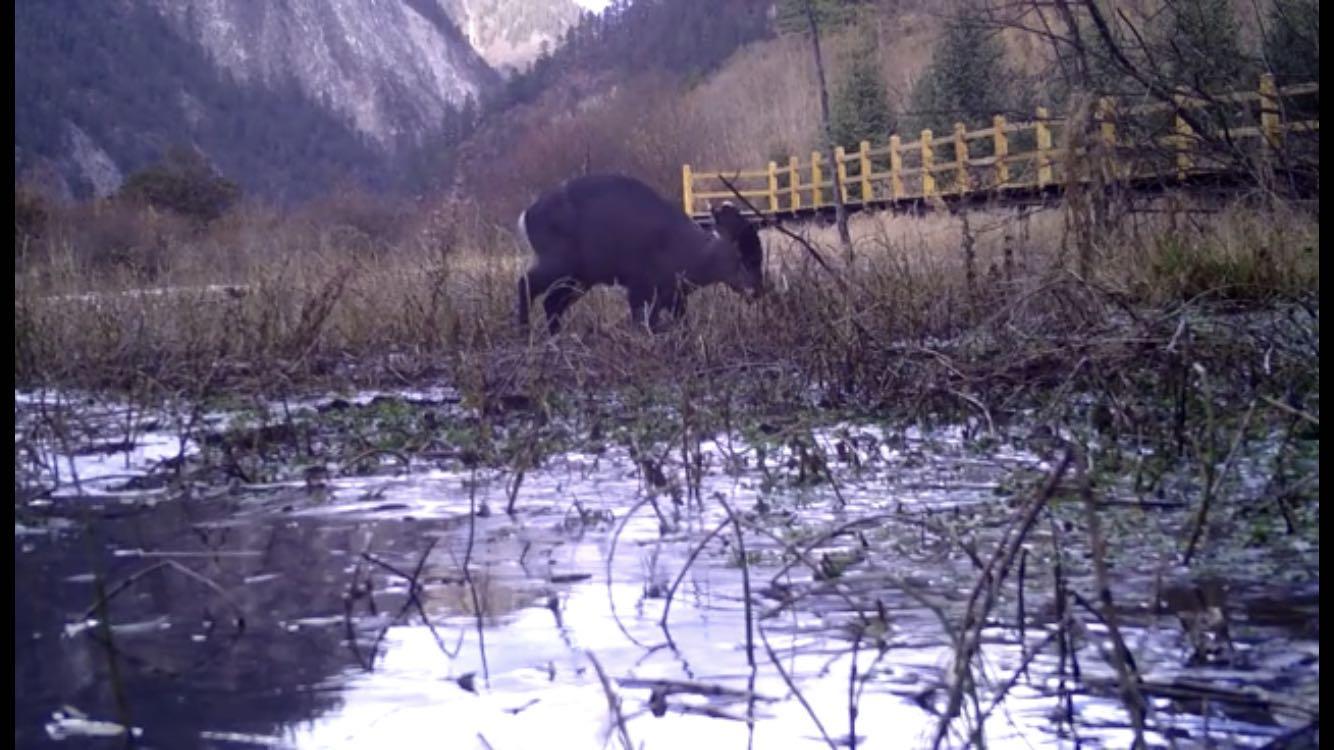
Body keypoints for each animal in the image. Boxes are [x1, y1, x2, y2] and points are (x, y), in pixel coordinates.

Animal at [512, 173, 763, 330]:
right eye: (744, 258)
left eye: (758, 256)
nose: (757, 291)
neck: (686, 254)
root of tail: (526, 216)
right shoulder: (640, 284)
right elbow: (644, 323)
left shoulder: (675, 295)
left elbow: (681, 324)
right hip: (558, 260)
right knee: (526, 283)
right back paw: (525, 332)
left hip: (581, 276)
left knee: (551, 302)